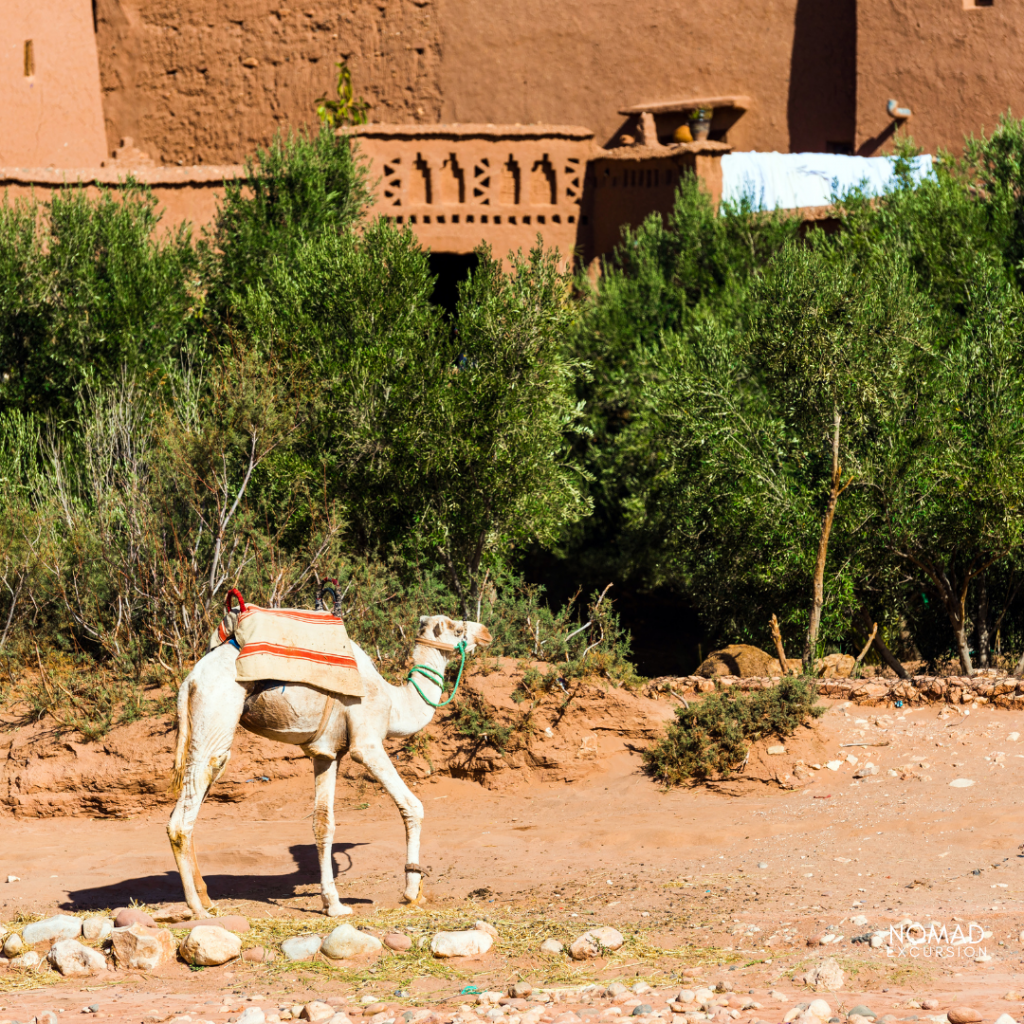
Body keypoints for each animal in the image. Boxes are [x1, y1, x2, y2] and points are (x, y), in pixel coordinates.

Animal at [166, 610, 491, 917]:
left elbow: (323, 824)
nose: (486, 632)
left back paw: (207, 900)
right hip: (217, 709)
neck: (394, 703)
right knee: (186, 810)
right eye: (457, 629)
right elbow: (412, 806)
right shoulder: (366, 743)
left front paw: (333, 905)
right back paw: (196, 908)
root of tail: (188, 682)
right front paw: (412, 891)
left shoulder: (327, 753)